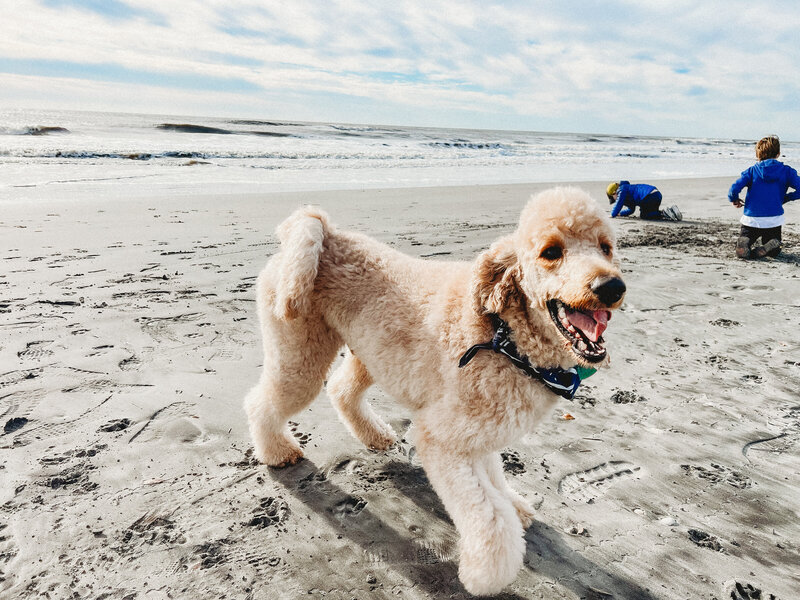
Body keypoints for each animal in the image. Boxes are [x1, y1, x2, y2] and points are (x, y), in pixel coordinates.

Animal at [244, 189, 624, 596]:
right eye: (551, 252)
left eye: (606, 248)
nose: (612, 287)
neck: (506, 338)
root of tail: (323, 233)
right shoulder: (442, 441)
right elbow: (489, 517)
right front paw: (485, 574)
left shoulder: (480, 431)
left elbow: (495, 478)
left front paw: (513, 505)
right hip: (299, 354)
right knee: (262, 402)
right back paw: (277, 451)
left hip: (372, 354)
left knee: (341, 389)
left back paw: (374, 435)